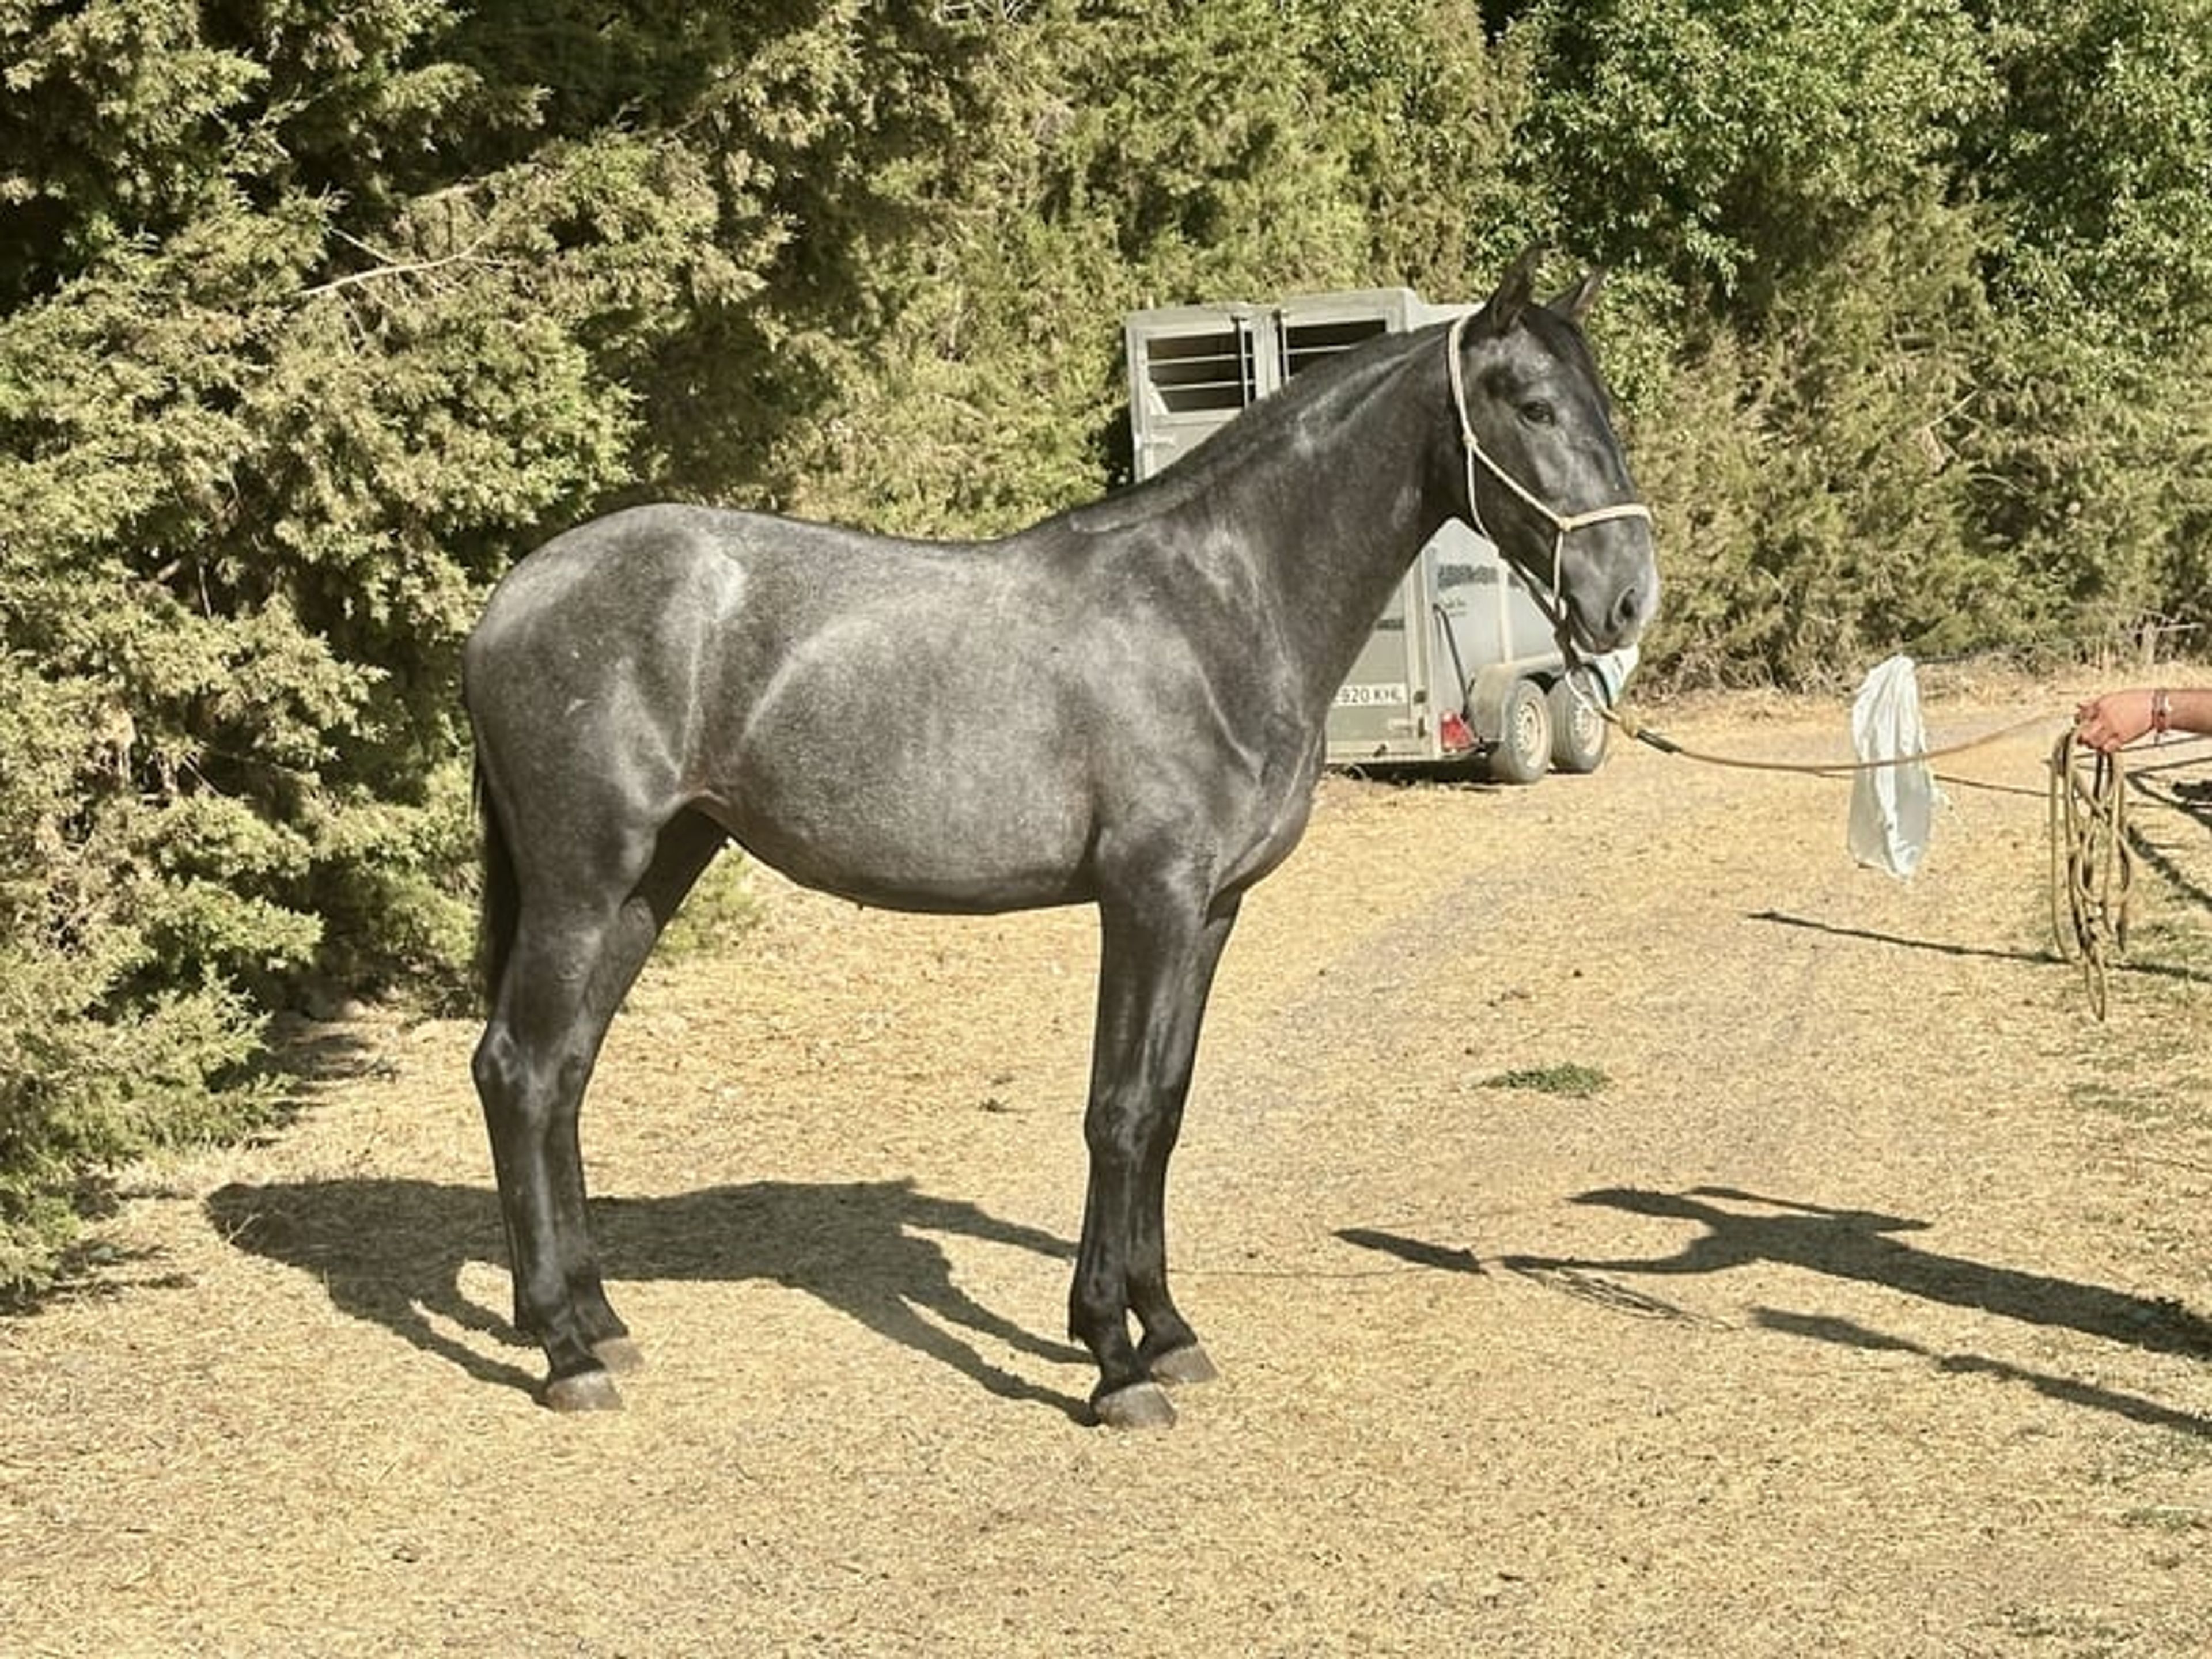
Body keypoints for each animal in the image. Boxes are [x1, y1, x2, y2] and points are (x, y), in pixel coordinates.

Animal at [462, 250, 1659, 1428]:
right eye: (1536, 406)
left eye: (1600, 402)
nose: (1627, 601)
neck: (1215, 609)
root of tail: (513, 596)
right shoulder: (1147, 900)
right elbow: (1118, 1113)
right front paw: (1114, 1363)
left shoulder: (1212, 913)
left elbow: (1165, 1110)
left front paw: (1167, 1332)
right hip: (582, 883)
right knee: (518, 1070)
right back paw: (565, 1351)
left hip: (653, 876)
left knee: (565, 1074)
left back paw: (600, 1318)